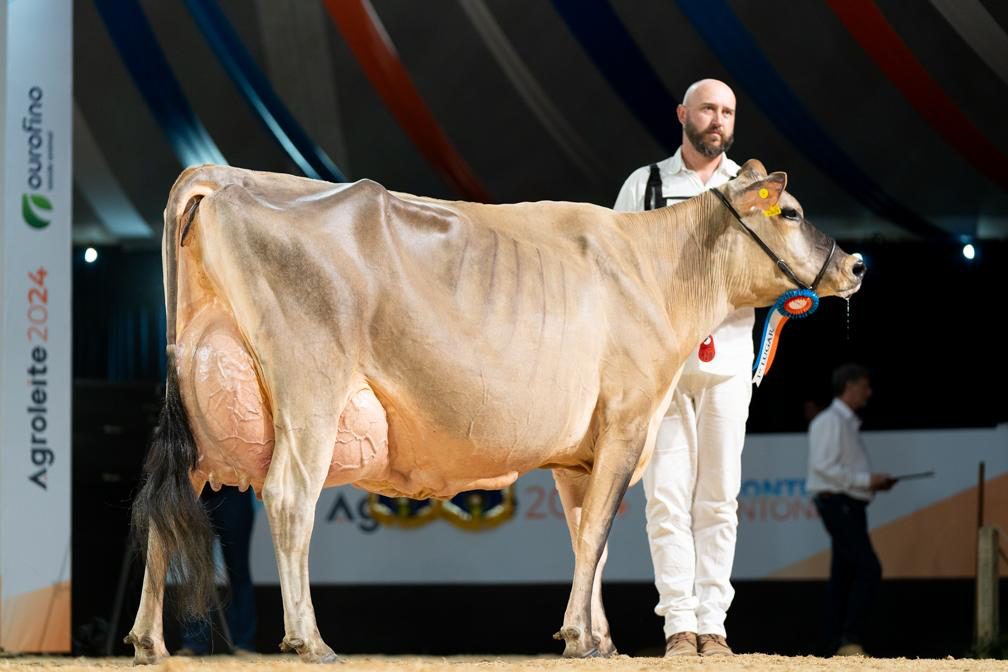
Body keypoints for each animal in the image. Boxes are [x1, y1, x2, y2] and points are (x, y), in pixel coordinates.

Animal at [126, 161, 862, 660]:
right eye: (790, 212)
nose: (854, 264)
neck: (657, 267)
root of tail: (224, 176)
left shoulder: (579, 451)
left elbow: (584, 536)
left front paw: (596, 637)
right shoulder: (630, 418)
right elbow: (598, 533)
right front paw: (578, 634)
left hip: (204, 406)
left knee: (168, 506)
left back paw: (149, 642)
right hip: (311, 388)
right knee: (288, 497)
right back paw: (311, 640)